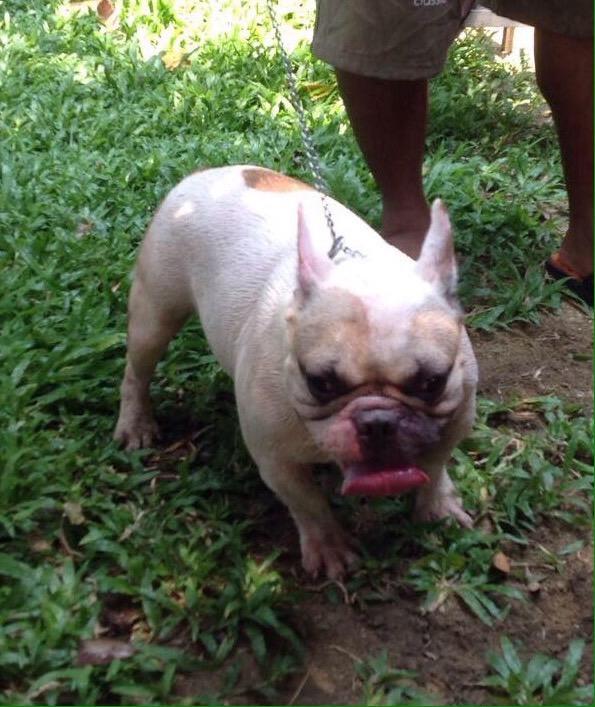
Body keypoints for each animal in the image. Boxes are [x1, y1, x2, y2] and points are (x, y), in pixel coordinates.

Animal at [115, 165, 478, 578]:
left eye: (432, 382)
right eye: (321, 383)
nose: (378, 421)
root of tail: (212, 173)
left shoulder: (455, 420)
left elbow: (434, 465)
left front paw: (437, 506)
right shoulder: (275, 458)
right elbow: (307, 502)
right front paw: (329, 546)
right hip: (154, 313)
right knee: (137, 369)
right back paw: (135, 422)